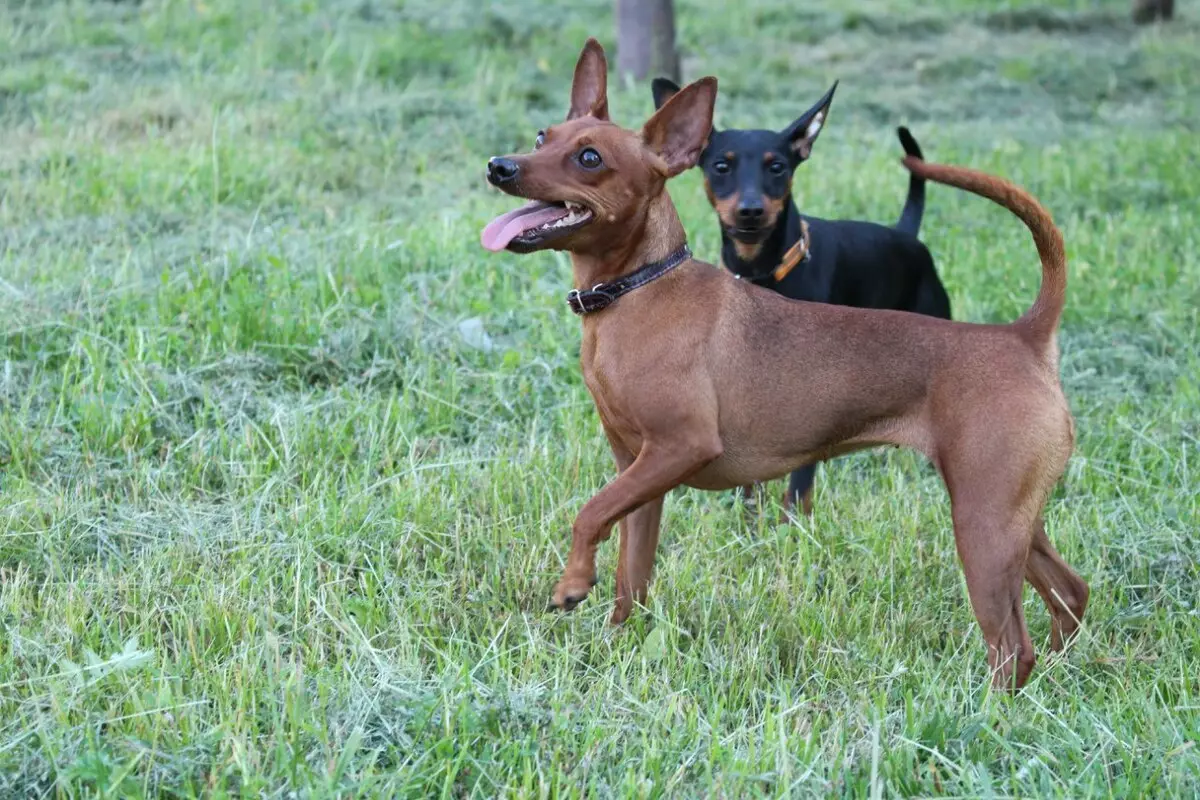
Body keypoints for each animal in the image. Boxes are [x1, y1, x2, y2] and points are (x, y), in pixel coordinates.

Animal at [652, 77, 950, 515]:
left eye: (777, 166)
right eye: (721, 166)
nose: (750, 210)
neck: (763, 271)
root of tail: (906, 236)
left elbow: (803, 468)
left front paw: (794, 517)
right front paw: (750, 513)